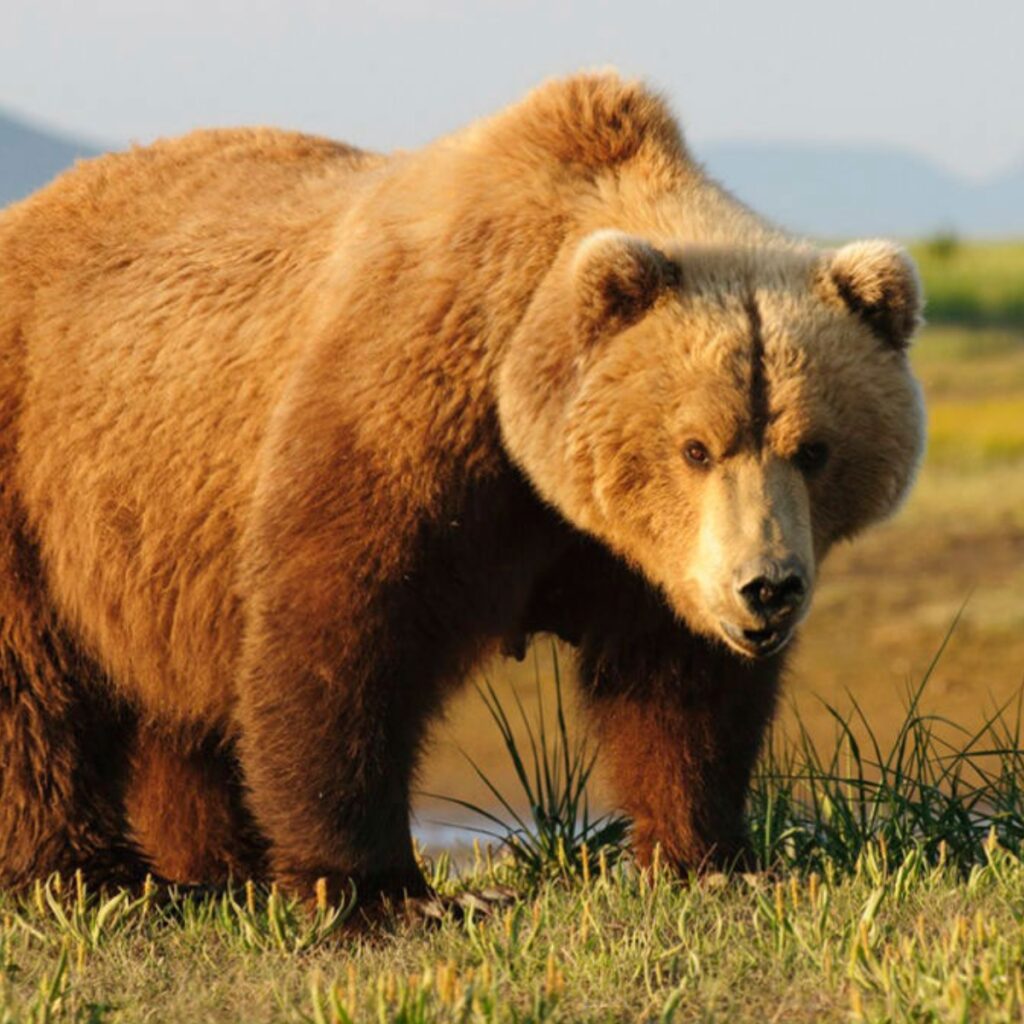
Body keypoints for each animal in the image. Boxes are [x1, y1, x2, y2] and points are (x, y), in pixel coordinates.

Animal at [0, 71, 924, 907]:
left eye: (814, 449)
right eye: (695, 446)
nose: (767, 588)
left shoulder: (646, 554)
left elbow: (677, 683)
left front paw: (711, 854)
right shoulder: (415, 415)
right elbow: (344, 633)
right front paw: (378, 889)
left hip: (159, 550)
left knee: (177, 704)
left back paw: (217, 863)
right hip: (44, 472)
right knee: (35, 690)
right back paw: (85, 872)